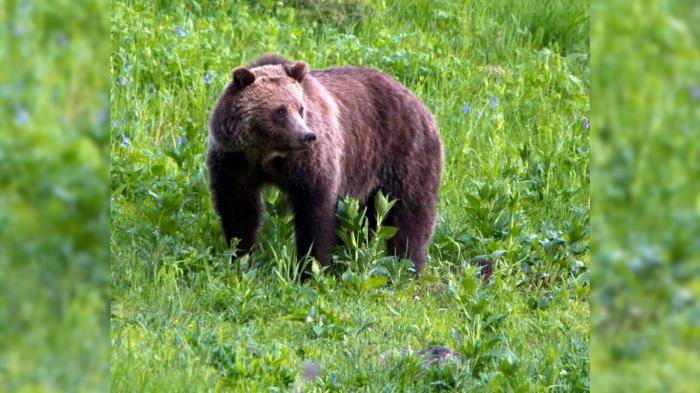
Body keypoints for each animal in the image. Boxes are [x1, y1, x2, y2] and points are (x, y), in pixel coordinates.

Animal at [205, 55, 442, 274]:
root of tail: (417, 100)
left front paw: (310, 268)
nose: (307, 136)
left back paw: (408, 266)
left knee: (411, 214)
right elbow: (238, 209)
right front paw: (241, 259)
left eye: (300, 108)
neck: (267, 154)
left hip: (404, 155)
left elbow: (314, 213)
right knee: (366, 219)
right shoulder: (235, 162)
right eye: (280, 110)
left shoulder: (308, 163)